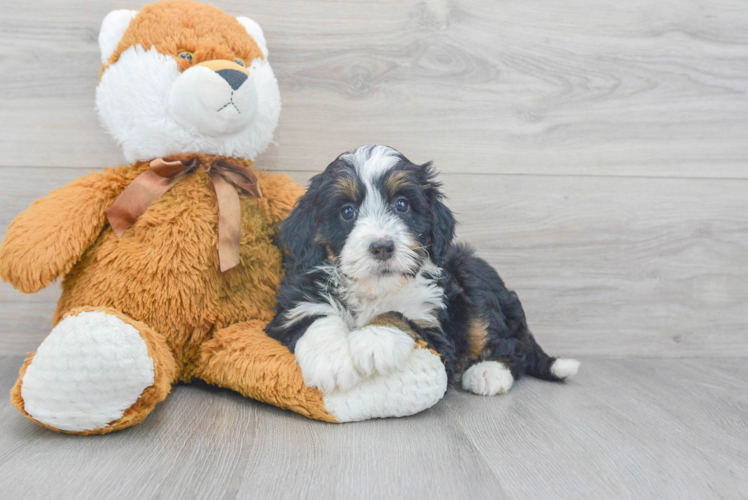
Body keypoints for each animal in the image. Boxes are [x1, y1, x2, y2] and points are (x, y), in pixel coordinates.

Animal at [266, 146, 580, 396]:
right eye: (347, 211)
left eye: (402, 205)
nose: (382, 247)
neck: (373, 290)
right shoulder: (291, 308)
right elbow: (314, 317)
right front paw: (331, 362)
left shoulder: (437, 335)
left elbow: (400, 314)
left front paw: (373, 340)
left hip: (472, 277)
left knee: (512, 346)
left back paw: (488, 372)